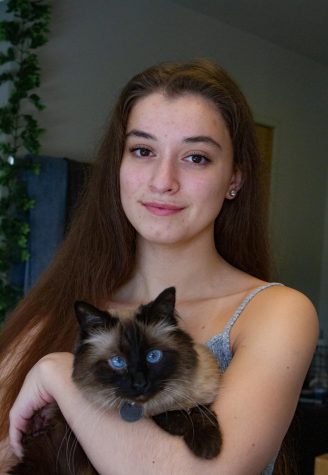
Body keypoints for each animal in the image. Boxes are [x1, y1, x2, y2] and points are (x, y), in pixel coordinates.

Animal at [10, 288, 222, 474]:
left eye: (153, 356)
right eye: (118, 362)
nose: (140, 384)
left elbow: (197, 410)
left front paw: (210, 446)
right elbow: (175, 414)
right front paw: (205, 445)